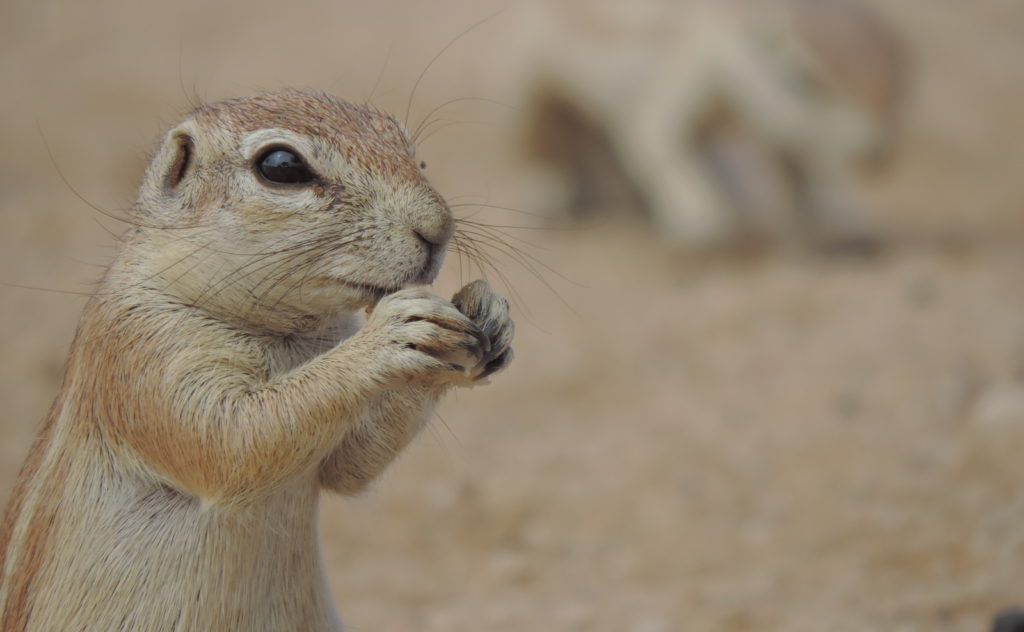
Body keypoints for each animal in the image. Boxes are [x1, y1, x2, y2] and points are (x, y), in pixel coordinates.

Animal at [0, 88, 512, 630]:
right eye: (281, 166)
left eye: (414, 153)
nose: (439, 227)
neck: (288, 336)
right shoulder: (139, 351)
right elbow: (228, 440)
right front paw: (392, 333)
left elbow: (348, 468)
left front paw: (487, 309)